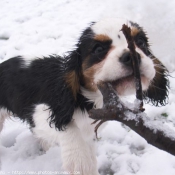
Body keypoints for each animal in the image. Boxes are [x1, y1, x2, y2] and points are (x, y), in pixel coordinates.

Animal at [0, 18, 170, 174]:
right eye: (98, 49)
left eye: (141, 42)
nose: (131, 57)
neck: (93, 98)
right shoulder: (41, 112)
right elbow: (69, 129)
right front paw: (78, 160)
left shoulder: (89, 131)